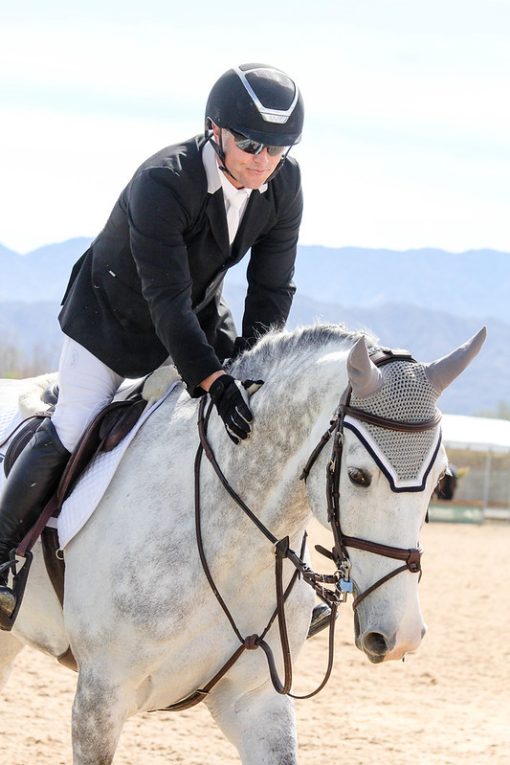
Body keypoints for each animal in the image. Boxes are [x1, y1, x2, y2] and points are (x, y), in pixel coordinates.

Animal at [0, 323, 485, 764]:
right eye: (357, 476)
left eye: (439, 480)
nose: (402, 636)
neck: (231, 547)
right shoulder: (100, 699)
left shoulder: (257, 701)